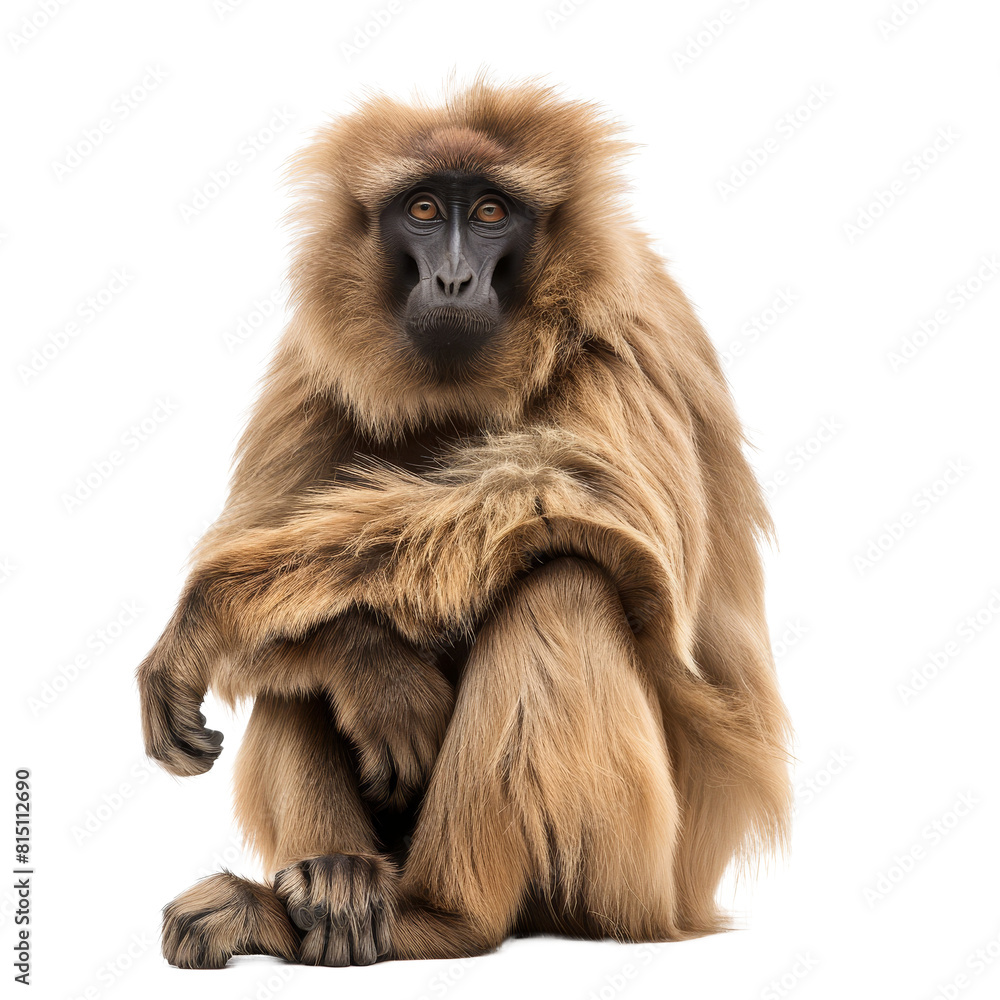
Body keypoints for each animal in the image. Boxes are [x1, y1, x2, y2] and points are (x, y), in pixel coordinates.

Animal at [137, 78, 793, 968]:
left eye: (489, 214)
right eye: (422, 209)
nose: (451, 277)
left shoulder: (624, 320)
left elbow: (601, 501)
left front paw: (215, 601)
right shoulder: (311, 358)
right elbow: (258, 563)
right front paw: (376, 671)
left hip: (637, 883)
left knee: (564, 582)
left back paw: (434, 917)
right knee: (298, 657)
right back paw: (331, 885)